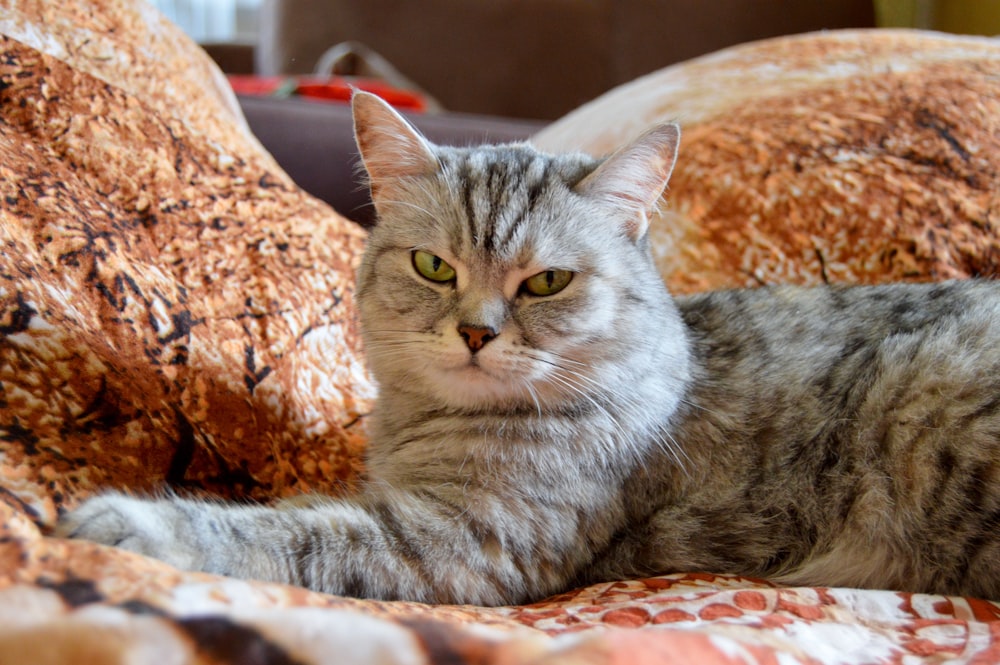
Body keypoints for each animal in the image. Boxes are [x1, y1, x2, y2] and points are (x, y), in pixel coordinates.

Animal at [56, 91, 1000, 604]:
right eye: (434, 266)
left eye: (545, 282)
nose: (477, 331)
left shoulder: (461, 542)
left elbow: (291, 534)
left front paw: (128, 519)